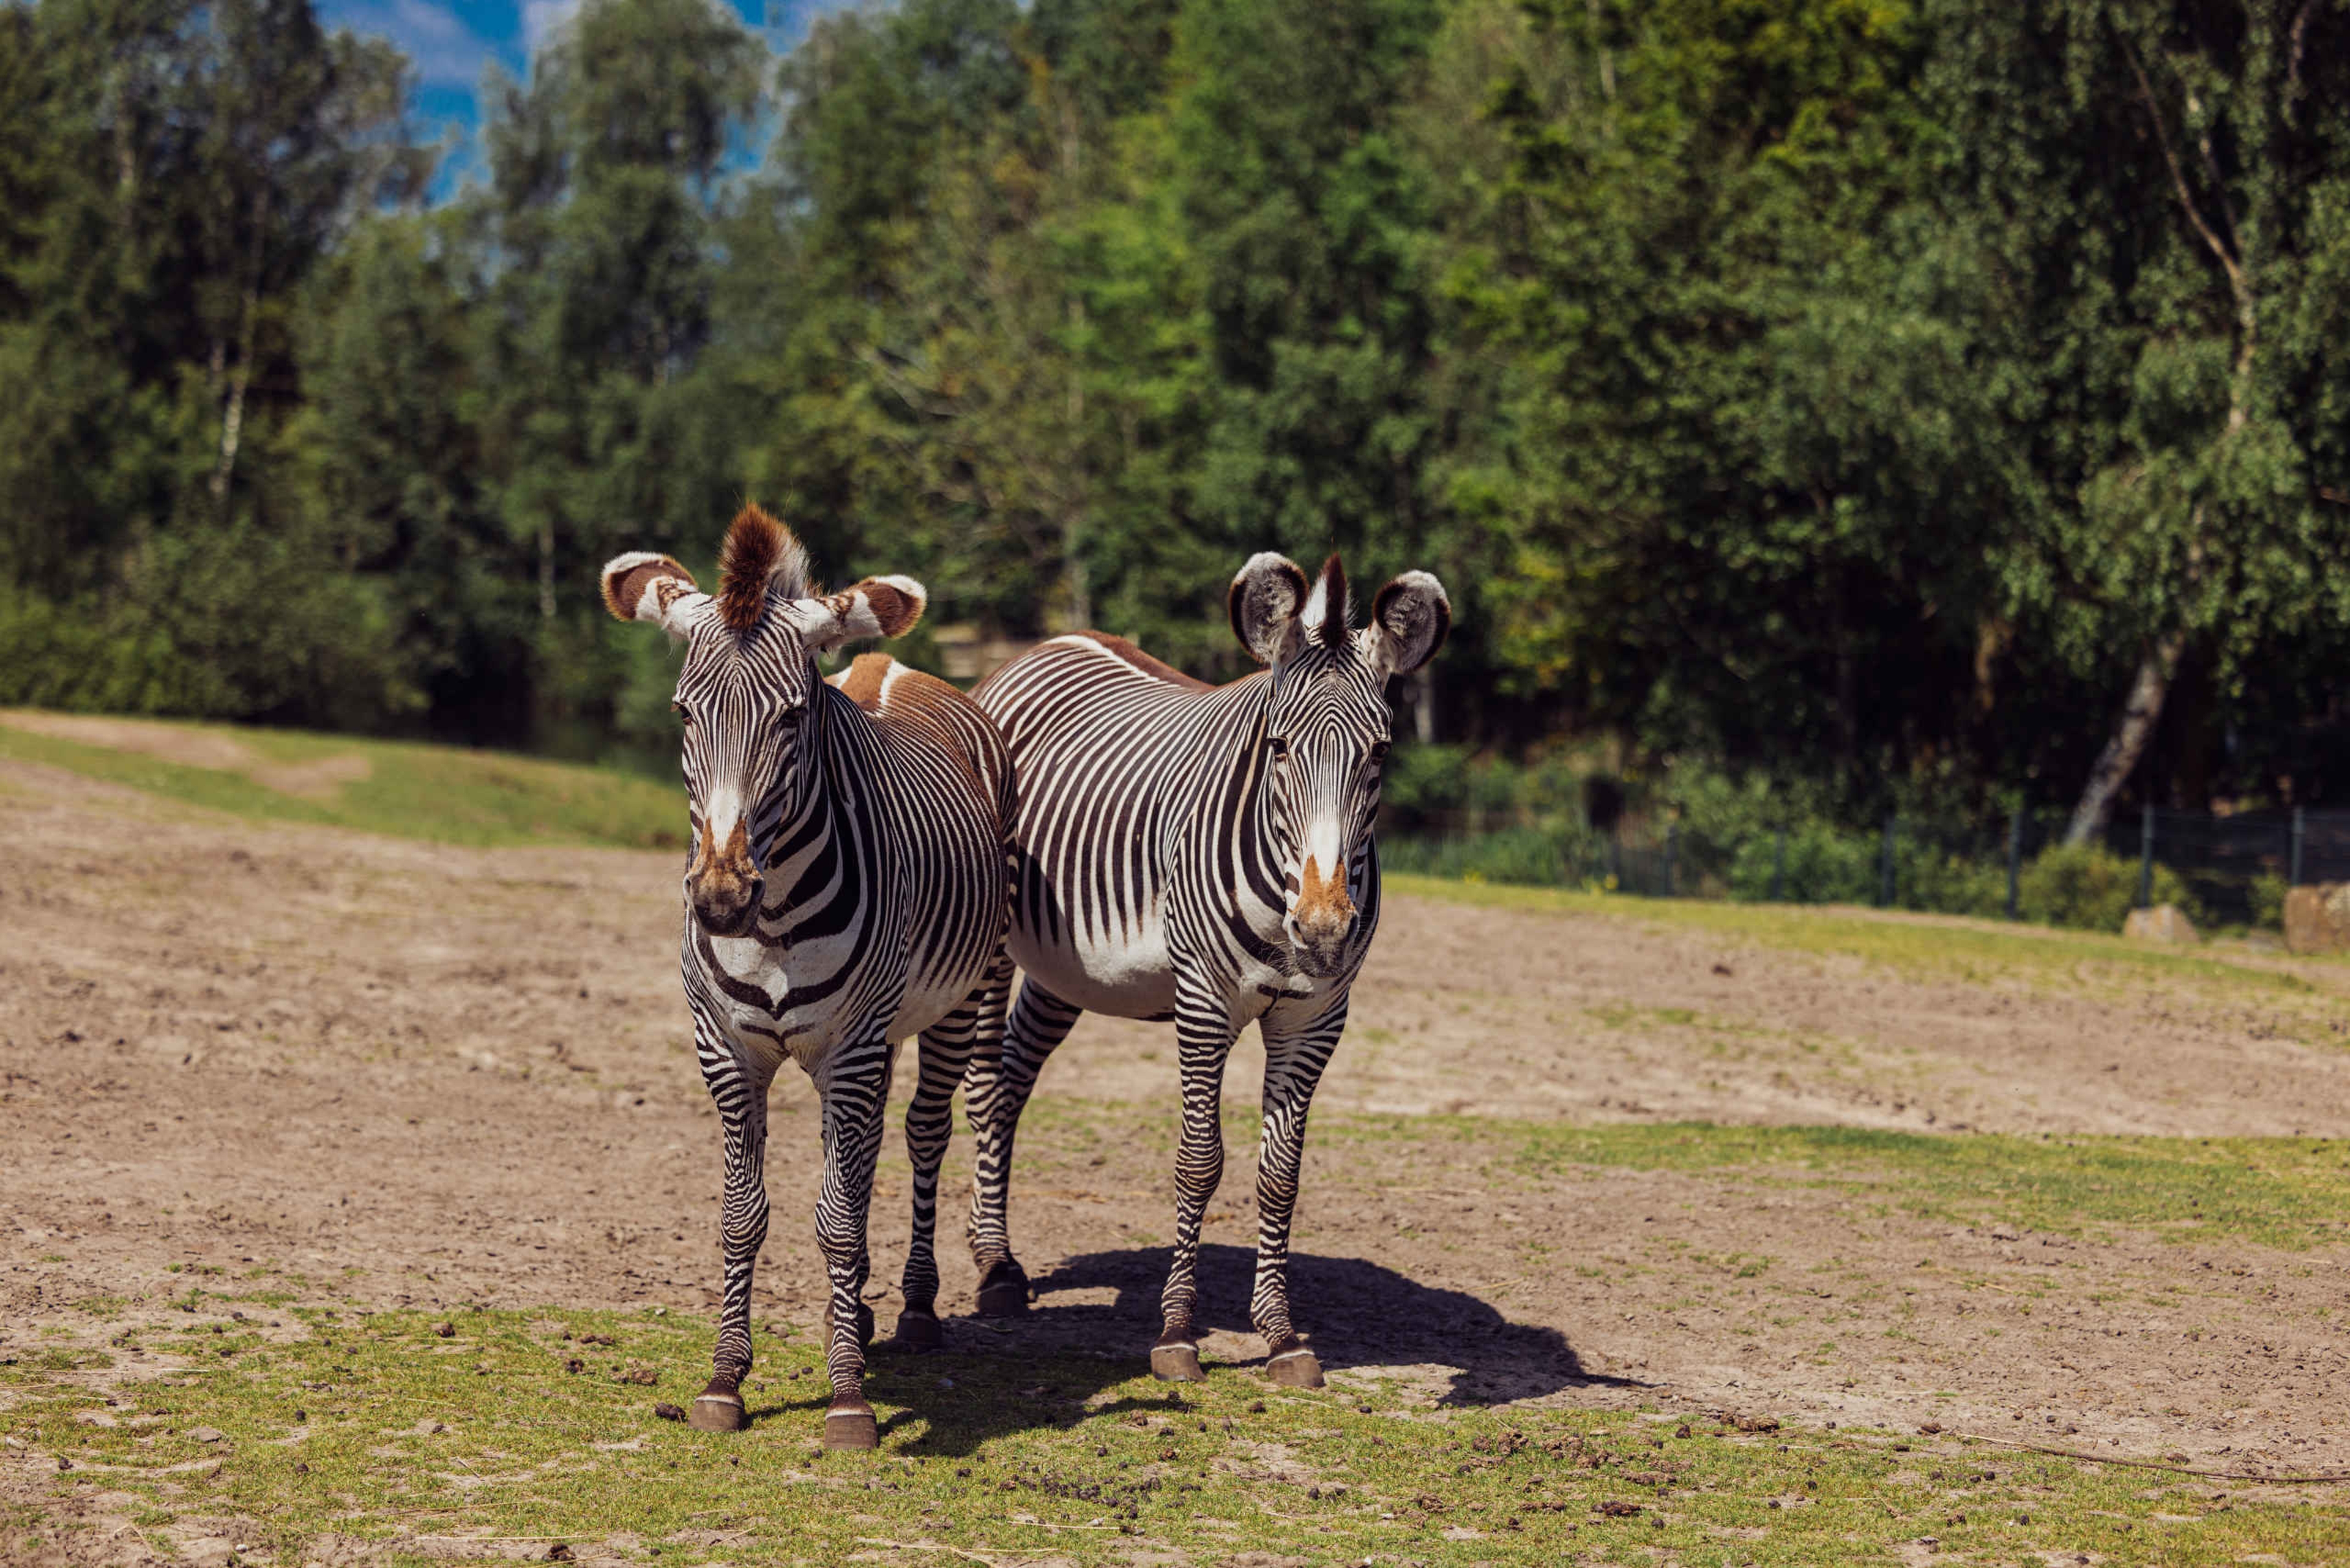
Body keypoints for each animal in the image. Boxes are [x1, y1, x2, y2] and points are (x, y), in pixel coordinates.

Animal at [600, 505, 1014, 1450]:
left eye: (791, 718)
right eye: (682, 714)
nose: (720, 899)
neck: (777, 919)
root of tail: (883, 664)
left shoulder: (851, 1051)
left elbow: (837, 1214)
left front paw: (849, 1396)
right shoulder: (728, 1051)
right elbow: (746, 1212)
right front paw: (725, 1379)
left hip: (963, 994)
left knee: (924, 1133)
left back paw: (915, 1308)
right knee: (861, 1158)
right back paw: (852, 1313)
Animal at [961, 551, 1448, 1387]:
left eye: (1381, 753)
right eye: (1278, 747)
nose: (1324, 929)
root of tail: (1045, 645)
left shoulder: (1316, 1016)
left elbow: (1280, 1174)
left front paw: (1281, 1335)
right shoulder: (1204, 1001)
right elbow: (1200, 1160)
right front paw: (1178, 1330)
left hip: (1067, 972)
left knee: (1014, 1081)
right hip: (995, 950)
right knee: (987, 1086)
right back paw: (994, 1268)